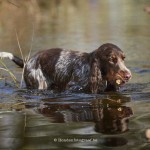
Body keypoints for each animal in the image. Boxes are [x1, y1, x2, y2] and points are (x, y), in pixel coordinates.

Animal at [0, 42, 131, 93]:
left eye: (123, 58)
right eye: (111, 59)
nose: (128, 75)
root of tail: (28, 62)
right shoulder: (73, 86)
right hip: (39, 83)